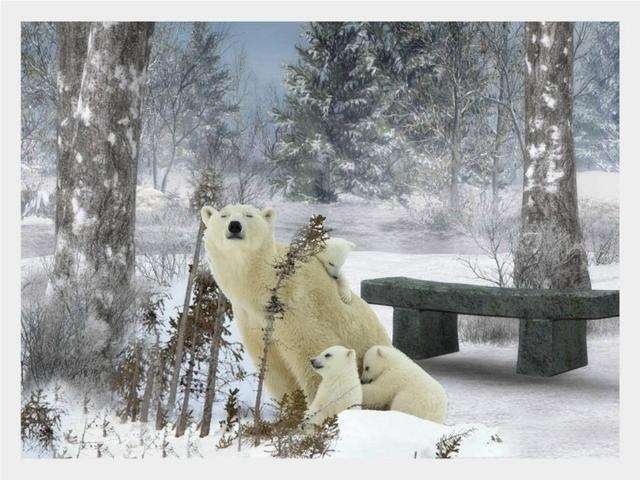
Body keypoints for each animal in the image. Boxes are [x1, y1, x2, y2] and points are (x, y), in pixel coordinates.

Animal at [200, 202, 390, 402]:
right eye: (224, 215)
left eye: (249, 215)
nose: (235, 226)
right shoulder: (252, 321)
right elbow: (276, 371)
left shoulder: (298, 308)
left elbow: (313, 357)